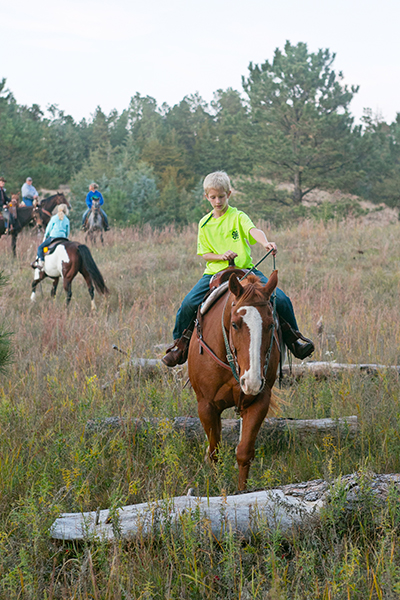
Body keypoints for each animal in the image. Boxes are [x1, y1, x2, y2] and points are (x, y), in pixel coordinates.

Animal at [188, 270, 280, 490]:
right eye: (235, 324)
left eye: (271, 324)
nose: (252, 381)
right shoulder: (206, 406)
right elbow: (215, 453)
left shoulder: (259, 402)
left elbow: (244, 452)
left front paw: (242, 492)